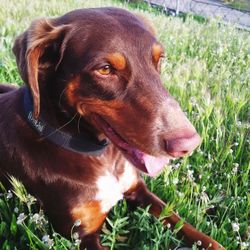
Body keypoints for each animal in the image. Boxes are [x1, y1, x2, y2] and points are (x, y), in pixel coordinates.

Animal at [0, 7, 223, 250]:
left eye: (159, 60)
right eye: (105, 69)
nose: (188, 144)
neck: (101, 157)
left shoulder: (138, 190)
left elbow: (188, 227)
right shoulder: (82, 234)